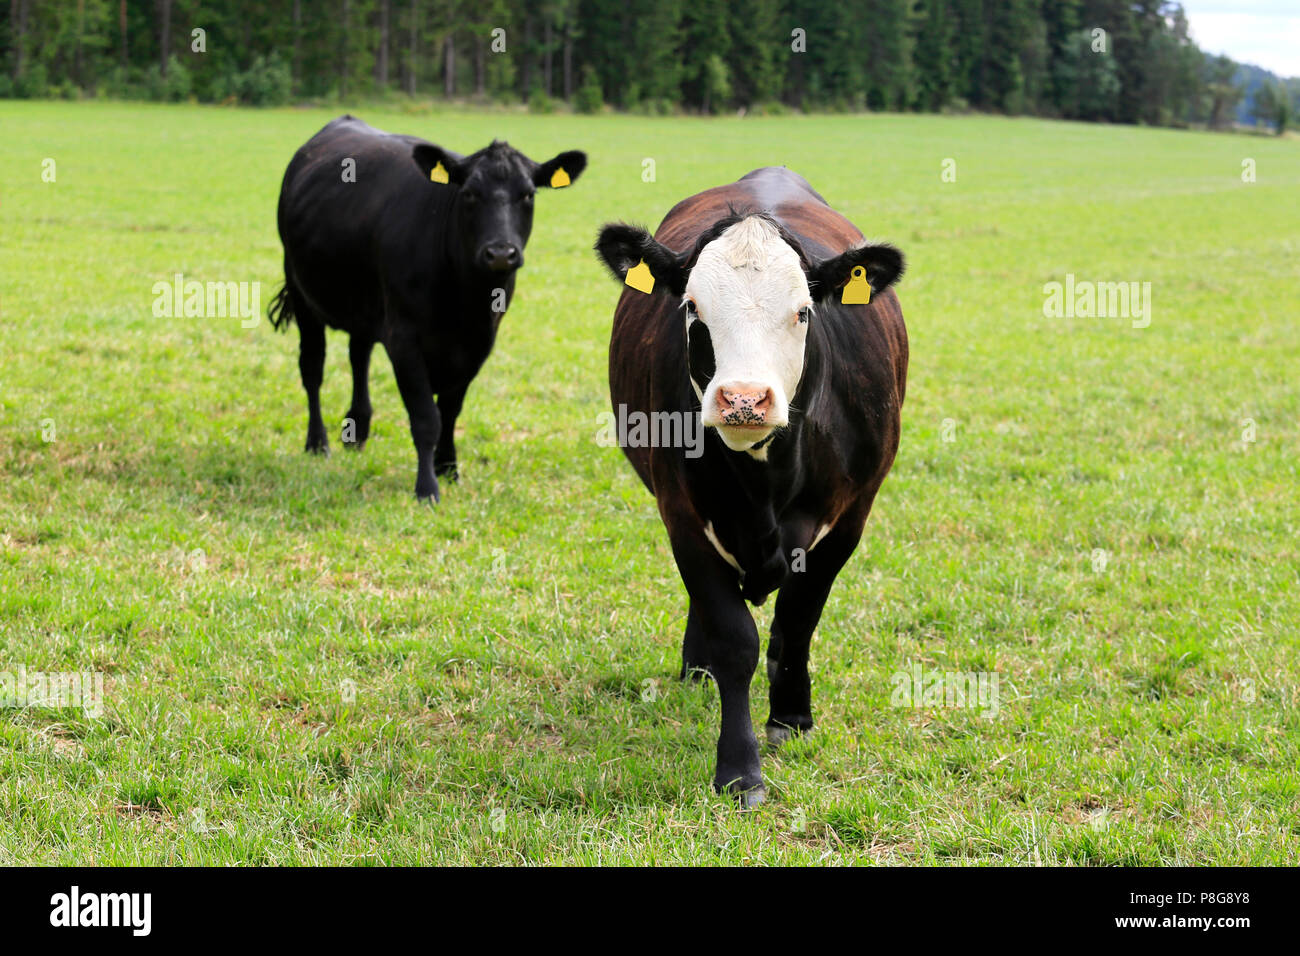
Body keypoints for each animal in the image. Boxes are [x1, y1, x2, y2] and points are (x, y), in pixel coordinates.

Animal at [271, 115, 587, 502]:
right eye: (469, 193)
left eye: (528, 194)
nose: (500, 253)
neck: (466, 301)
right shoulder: (404, 340)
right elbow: (426, 417)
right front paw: (427, 487)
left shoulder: (479, 344)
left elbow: (450, 410)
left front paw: (448, 467)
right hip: (301, 291)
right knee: (312, 369)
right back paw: (318, 443)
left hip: (366, 305)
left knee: (358, 355)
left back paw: (357, 430)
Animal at [595, 167, 909, 806]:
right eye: (692, 307)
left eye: (804, 311)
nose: (744, 399)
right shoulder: (684, 517)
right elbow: (734, 639)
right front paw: (740, 769)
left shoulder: (850, 518)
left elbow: (797, 620)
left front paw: (791, 717)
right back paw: (697, 668)